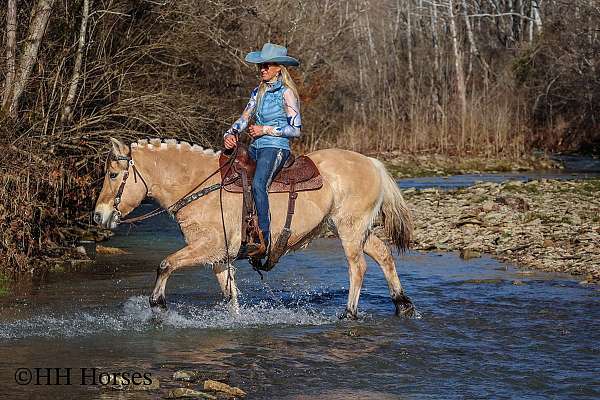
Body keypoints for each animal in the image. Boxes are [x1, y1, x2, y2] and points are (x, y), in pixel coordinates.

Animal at [94, 138, 414, 318]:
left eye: (113, 175)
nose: (98, 216)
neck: (199, 186)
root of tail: (371, 162)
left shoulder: (207, 247)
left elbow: (165, 264)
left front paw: (158, 303)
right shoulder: (219, 257)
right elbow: (230, 295)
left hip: (350, 228)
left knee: (358, 267)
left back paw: (349, 313)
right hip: (356, 230)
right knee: (383, 254)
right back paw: (402, 304)